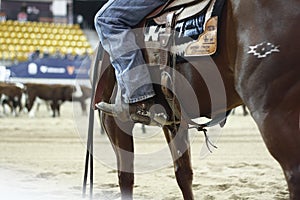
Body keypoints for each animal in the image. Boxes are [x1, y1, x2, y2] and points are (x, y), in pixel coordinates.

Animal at [91, 0, 300, 199]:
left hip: (271, 111)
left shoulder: (113, 120)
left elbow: (125, 177)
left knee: (293, 172)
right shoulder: (174, 120)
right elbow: (183, 174)